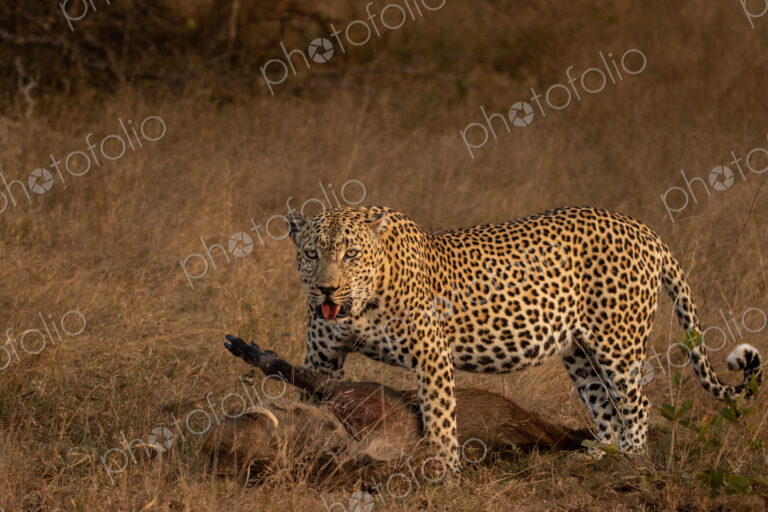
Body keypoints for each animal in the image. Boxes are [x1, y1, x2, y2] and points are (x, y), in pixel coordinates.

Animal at [285, 205, 762, 470]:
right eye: (311, 254)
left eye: (351, 254)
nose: (326, 289)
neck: (361, 304)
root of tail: (643, 229)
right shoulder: (322, 357)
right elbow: (309, 400)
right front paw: (302, 445)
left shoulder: (431, 356)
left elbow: (439, 417)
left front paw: (443, 470)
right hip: (578, 352)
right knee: (605, 405)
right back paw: (597, 455)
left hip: (618, 343)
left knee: (636, 403)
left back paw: (632, 461)